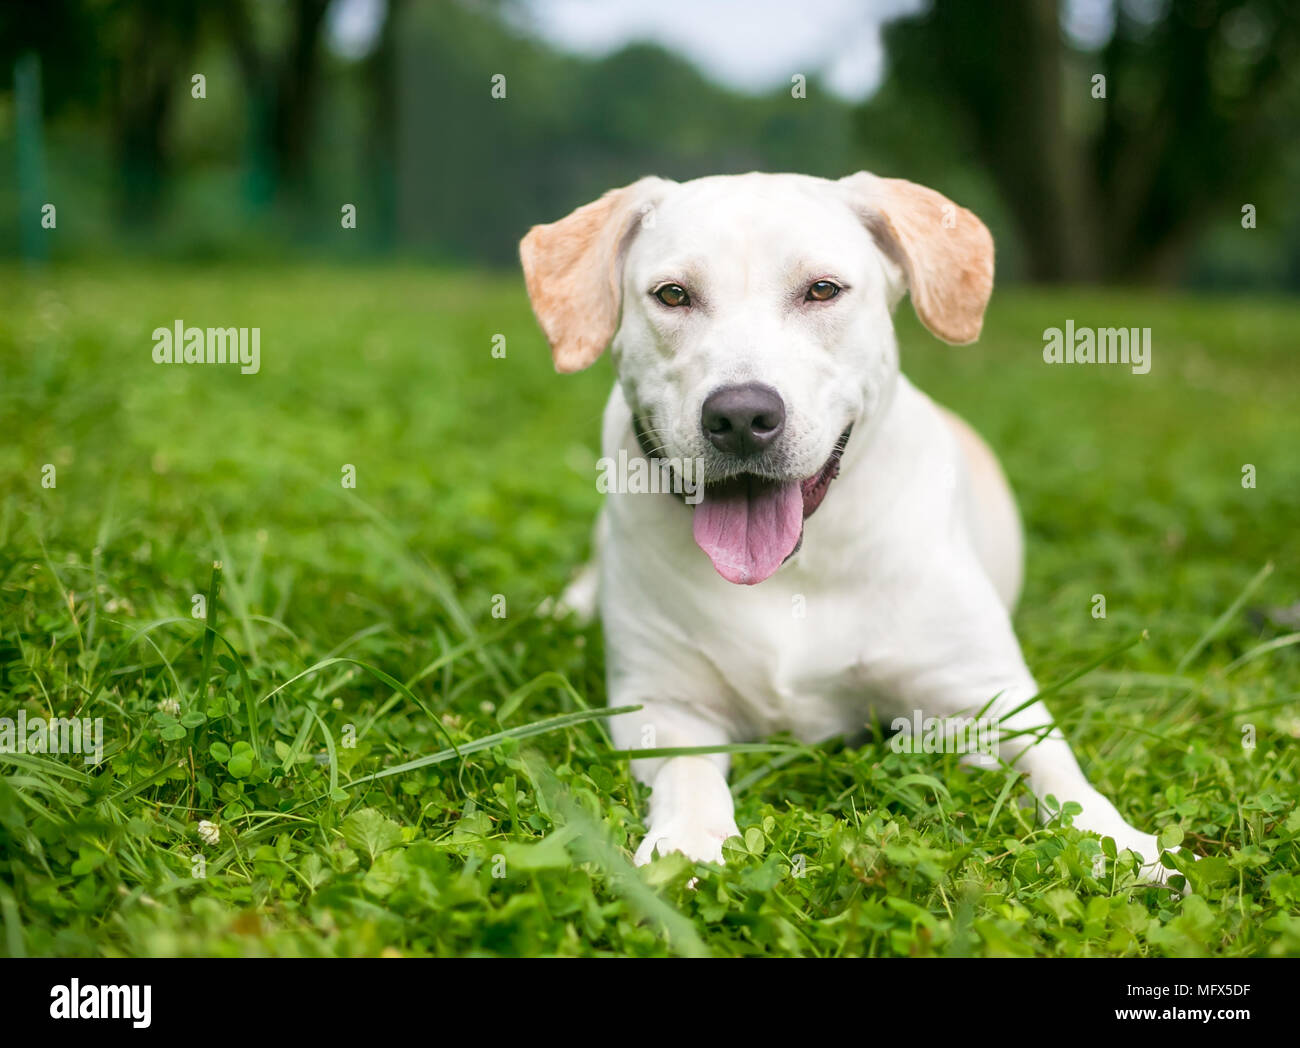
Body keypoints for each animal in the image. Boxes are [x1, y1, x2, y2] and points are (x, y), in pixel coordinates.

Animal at [522, 172, 1175, 884]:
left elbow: (1058, 769)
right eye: (672, 295)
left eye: (822, 290)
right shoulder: (662, 705)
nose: (741, 416)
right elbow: (687, 771)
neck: (799, 563)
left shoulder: (994, 692)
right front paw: (690, 840)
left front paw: (1116, 841)